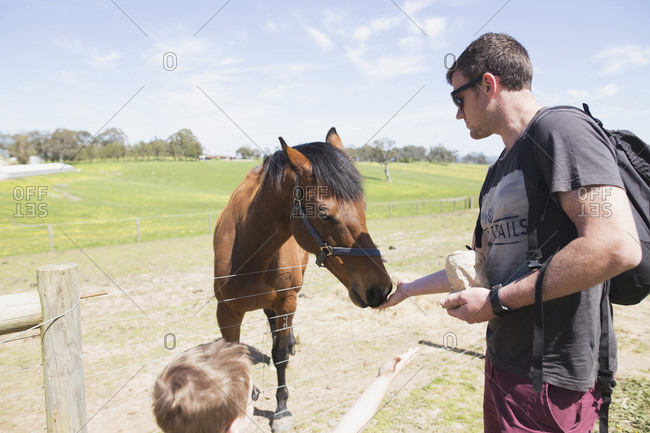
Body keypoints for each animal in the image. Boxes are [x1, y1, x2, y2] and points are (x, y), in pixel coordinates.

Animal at [213, 127, 392, 432]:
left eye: (363, 205)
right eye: (324, 213)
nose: (381, 288)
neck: (249, 250)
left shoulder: (286, 302)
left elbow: (280, 356)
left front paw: (282, 410)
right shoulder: (226, 312)